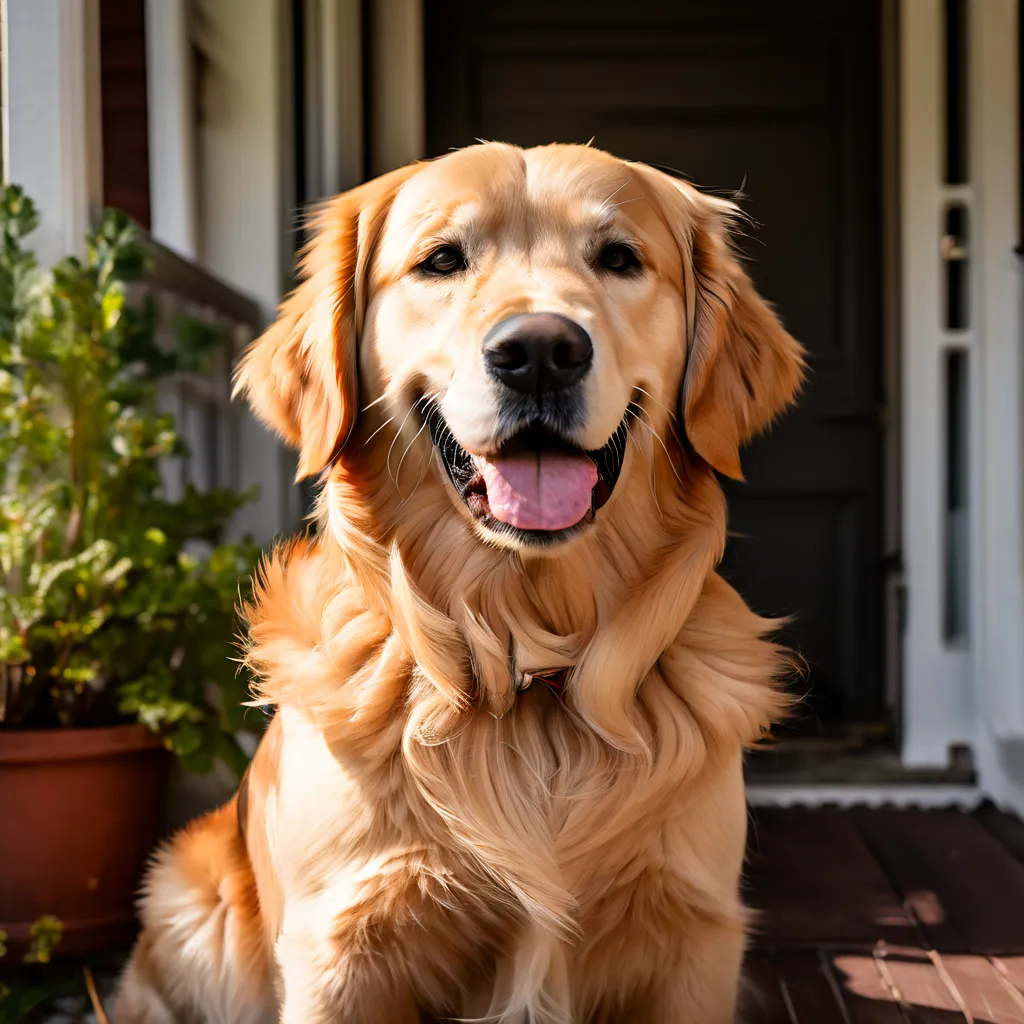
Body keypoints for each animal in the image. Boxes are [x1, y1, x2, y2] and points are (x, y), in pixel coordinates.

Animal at [116, 144, 806, 1024]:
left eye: (620, 258)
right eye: (442, 260)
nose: (541, 351)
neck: (527, 661)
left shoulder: (694, 940)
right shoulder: (339, 947)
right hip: (189, 899)